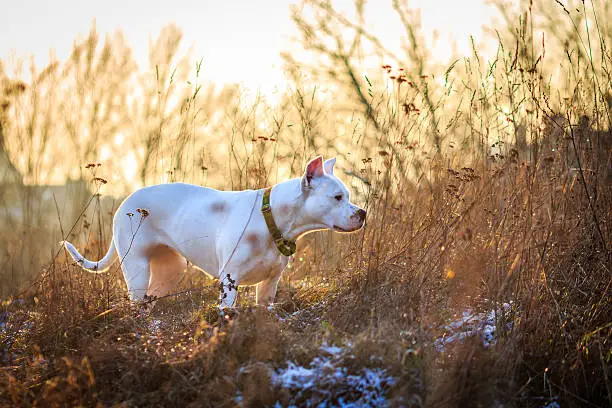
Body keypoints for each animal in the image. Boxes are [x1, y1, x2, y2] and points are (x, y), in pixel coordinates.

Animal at [63, 156, 364, 306]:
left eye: (348, 196)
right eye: (338, 197)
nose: (362, 213)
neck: (271, 220)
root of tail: (125, 202)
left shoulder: (269, 286)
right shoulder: (230, 282)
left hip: (170, 269)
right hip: (136, 267)